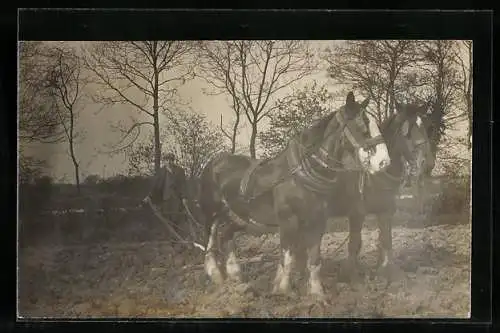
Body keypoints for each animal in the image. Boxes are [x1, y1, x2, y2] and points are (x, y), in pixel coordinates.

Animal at [198, 91, 390, 298]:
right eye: (363, 127)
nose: (384, 162)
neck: (301, 175)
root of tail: (214, 161)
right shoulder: (288, 221)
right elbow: (288, 258)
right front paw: (283, 290)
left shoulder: (317, 221)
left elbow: (314, 259)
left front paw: (316, 293)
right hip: (211, 212)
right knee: (210, 241)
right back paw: (215, 274)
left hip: (240, 217)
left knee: (226, 236)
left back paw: (235, 275)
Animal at [332, 102, 438, 282]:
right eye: (407, 133)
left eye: (424, 127)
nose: (428, 162)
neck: (376, 175)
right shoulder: (357, 213)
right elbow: (354, 242)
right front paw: (349, 274)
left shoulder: (386, 210)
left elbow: (385, 239)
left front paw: (385, 269)